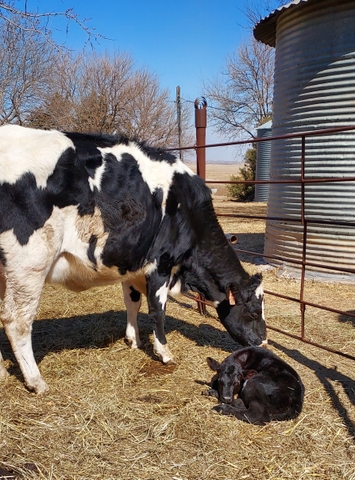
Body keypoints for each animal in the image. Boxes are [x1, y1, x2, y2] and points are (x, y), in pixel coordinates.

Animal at [0, 124, 268, 394]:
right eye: (255, 311)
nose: (263, 342)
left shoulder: (131, 264)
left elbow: (133, 302)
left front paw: (133, 339)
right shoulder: (161, 263)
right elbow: (157, 310)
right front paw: (164, 352)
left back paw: (2, 372)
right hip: (30, 264)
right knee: (17, 321)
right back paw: (36, 381)